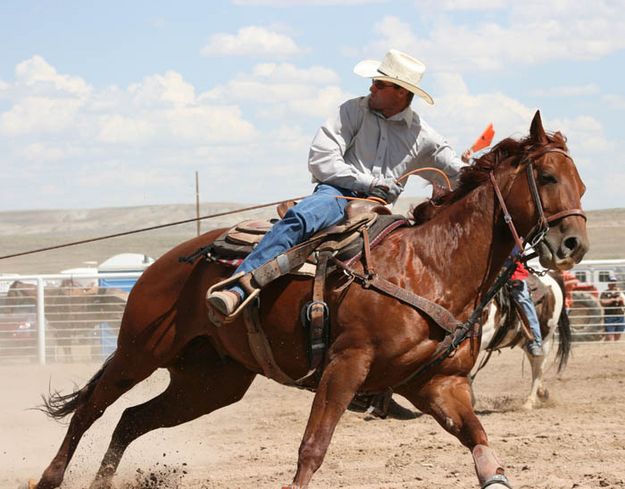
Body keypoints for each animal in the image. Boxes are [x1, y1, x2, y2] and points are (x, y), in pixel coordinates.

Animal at [33, 110, 588, 488]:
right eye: (546, 177)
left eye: (581, 183)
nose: (573, 245)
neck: (431, 267)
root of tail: (167, 262)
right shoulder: (346, 363)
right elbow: (313, 448)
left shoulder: (439, 385)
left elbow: (480, 443)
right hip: (140, 350)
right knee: (90, 412)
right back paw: (50, 477)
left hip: (210, 382)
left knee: (131, 420)